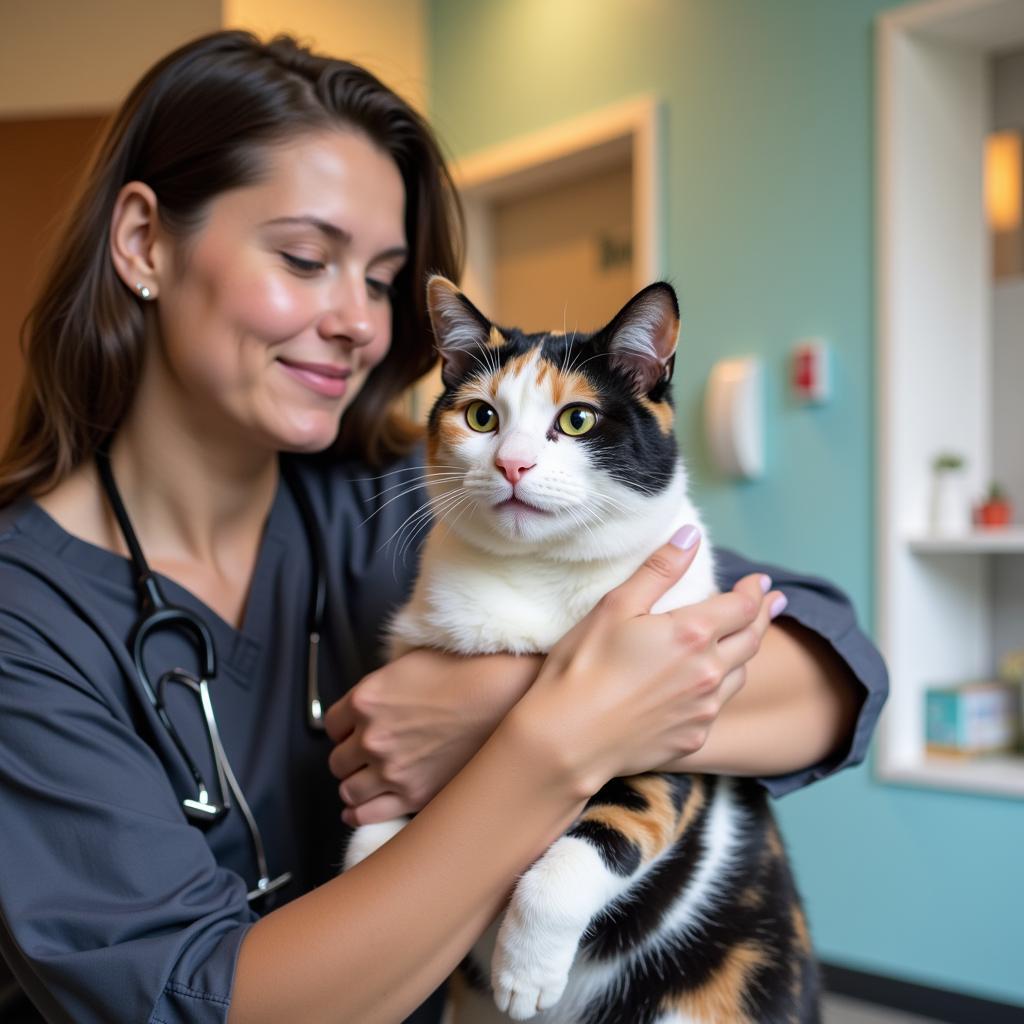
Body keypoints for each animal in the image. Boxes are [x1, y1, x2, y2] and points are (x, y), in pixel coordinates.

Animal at [348, 280, 819, 1024]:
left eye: (576, 420)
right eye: (481, 416)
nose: (511, 463)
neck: (542, 576)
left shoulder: (663, 738)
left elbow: (593, 844)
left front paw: (525, 970)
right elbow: (377, 825)